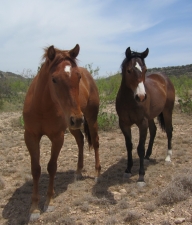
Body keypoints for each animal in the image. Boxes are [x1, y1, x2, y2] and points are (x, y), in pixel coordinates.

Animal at [23, 44, 101, 220]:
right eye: (54, 79)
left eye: (78, 77)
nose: (77, 118)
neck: (42, 107)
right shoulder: (30, 137)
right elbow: (35, 169)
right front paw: (33, 208)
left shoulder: (57, 137)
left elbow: (52, 166)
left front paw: (49, 202)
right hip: (72, 127)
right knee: (80, 140)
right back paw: (78, 171)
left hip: (90, 118)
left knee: (96, 142)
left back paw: (97, 173)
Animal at [115, 46, 176, 185]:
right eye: (129, 70)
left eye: (145, 70)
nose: (141, 97)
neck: (129, 100)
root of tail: (163, 78)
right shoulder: (124, 124)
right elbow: (129, 146)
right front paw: (128, 170)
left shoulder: (142, 123)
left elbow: (140, 148)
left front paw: (141, 176)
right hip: (151, 117)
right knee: (153, 131)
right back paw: (148, 156)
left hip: (167, 111)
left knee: (169, 130)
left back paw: (168, 157)